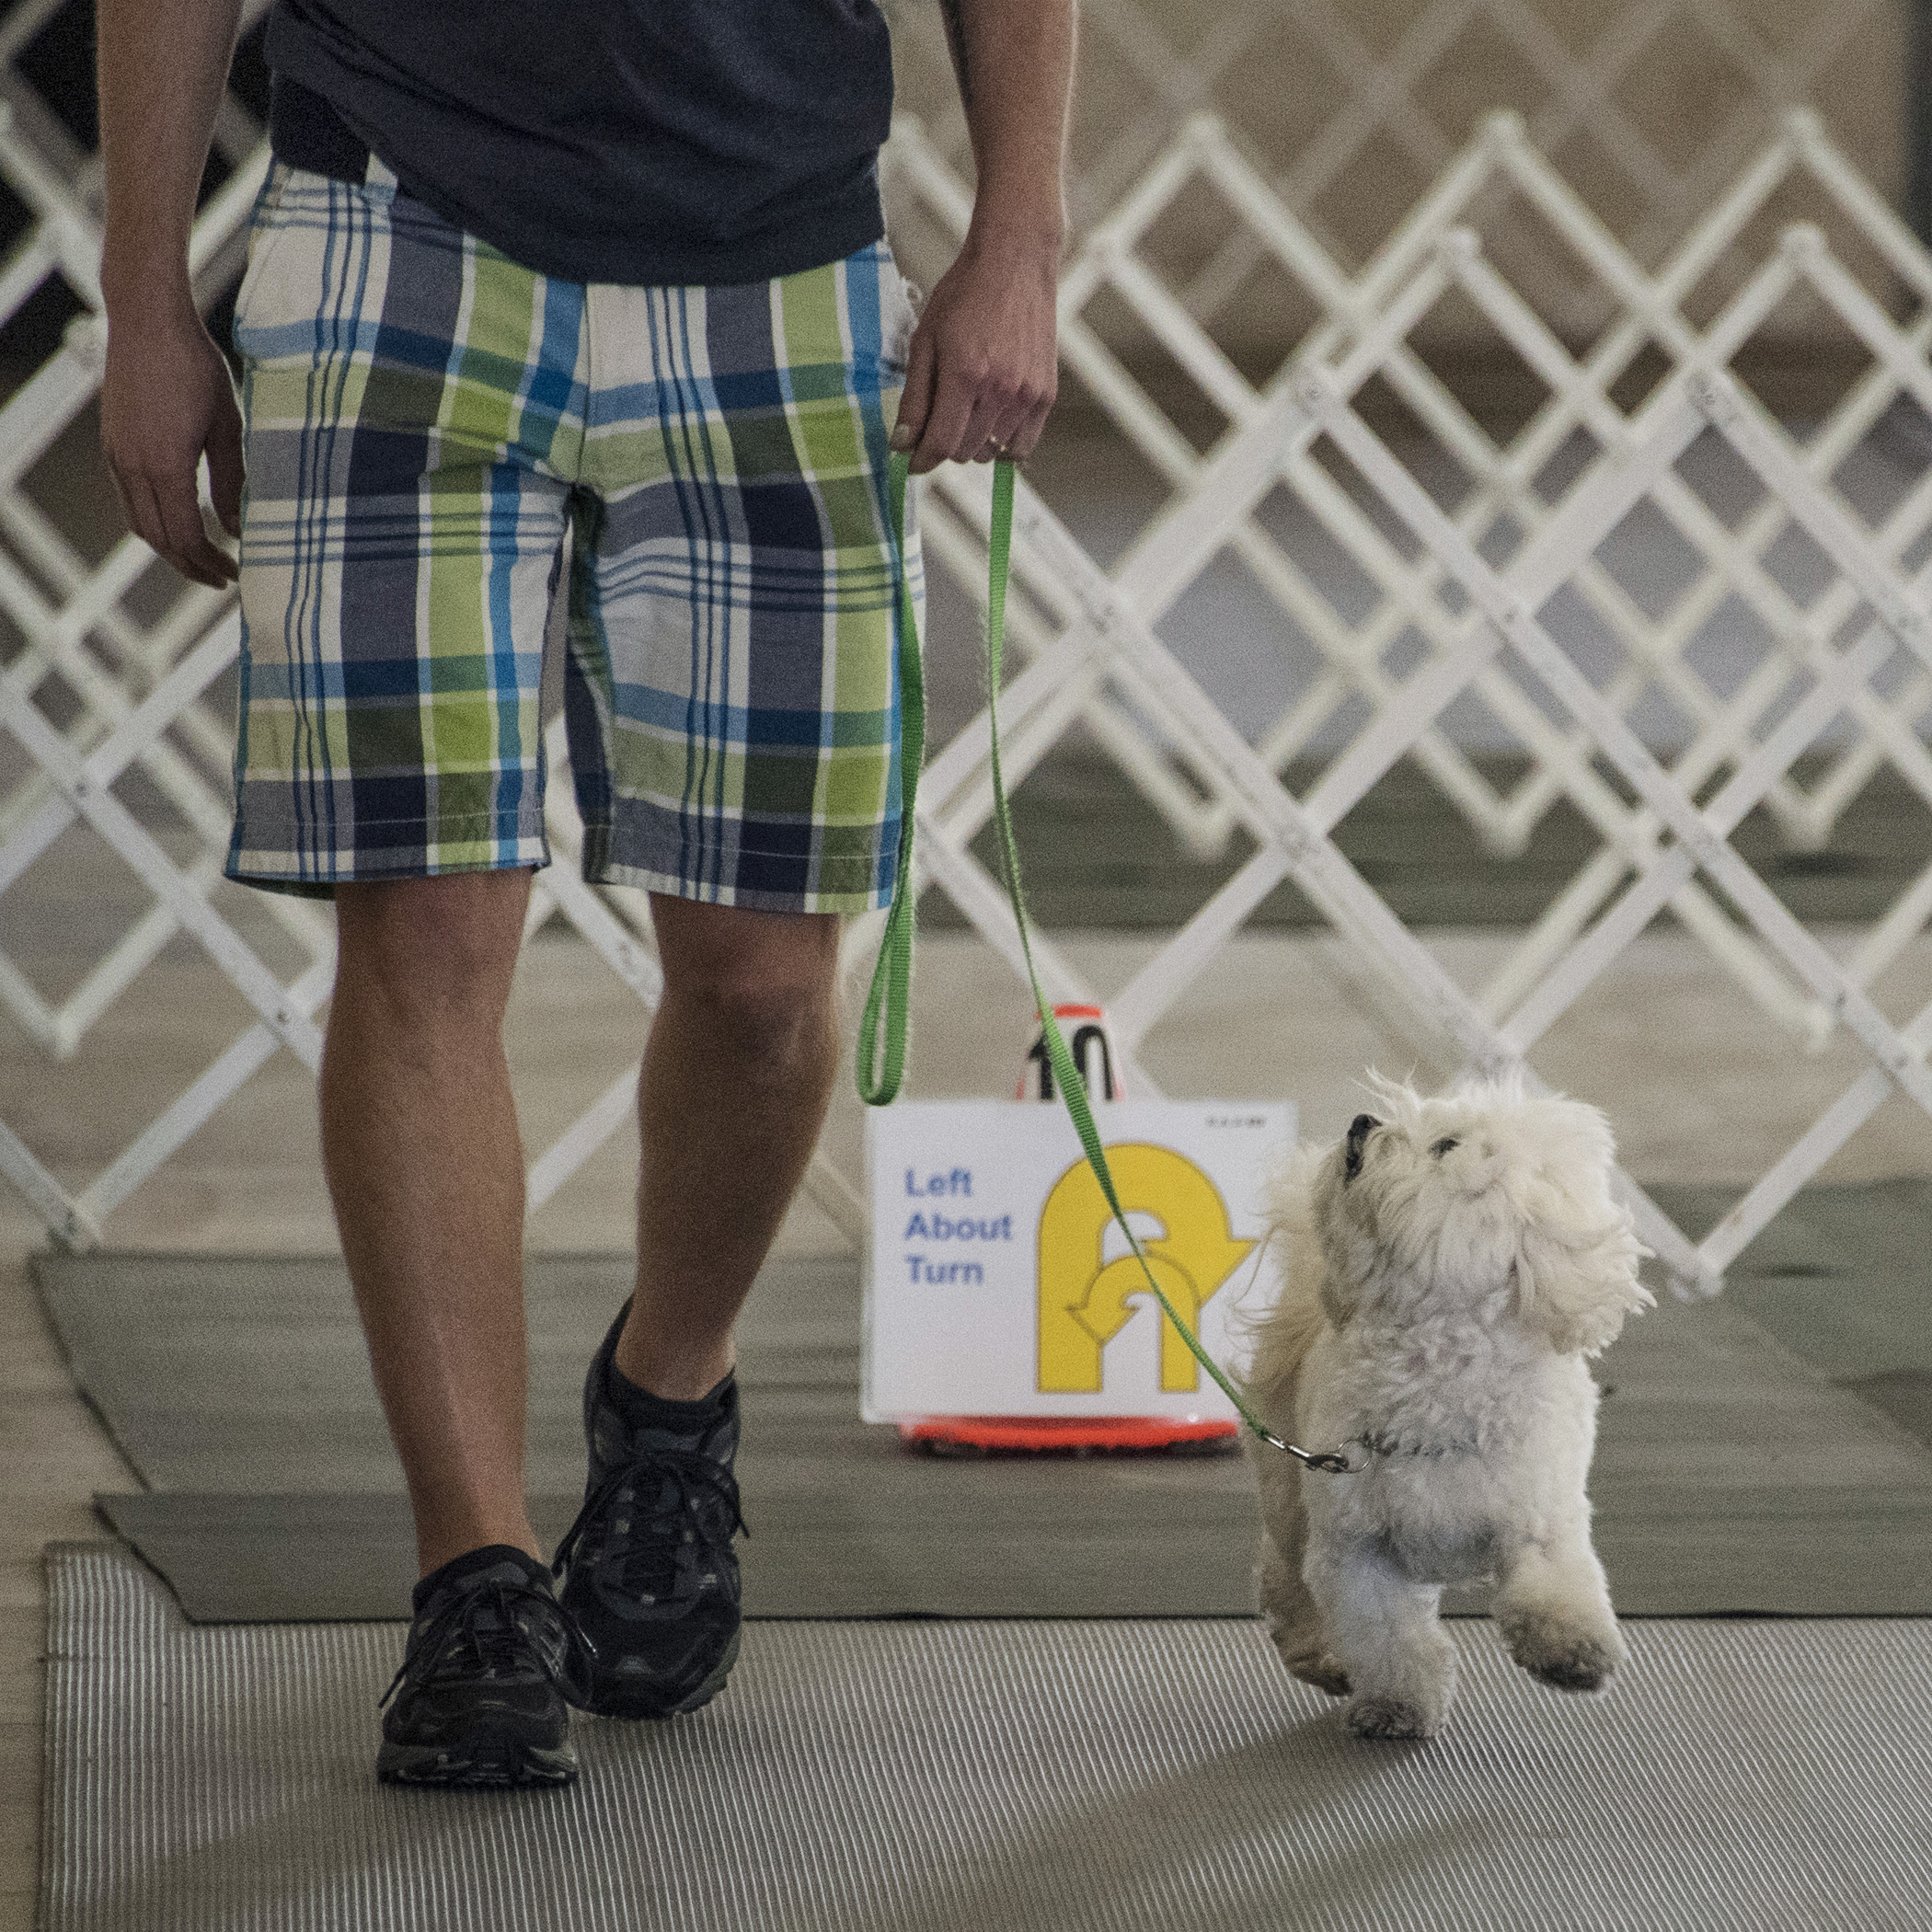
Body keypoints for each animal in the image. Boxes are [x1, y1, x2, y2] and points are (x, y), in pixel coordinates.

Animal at [1251, 1082, 1646, 1746]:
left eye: (1445, 1146)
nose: (1362, 1122)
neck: (1434, 1380)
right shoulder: (1357, 1548)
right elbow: (1387, 1639)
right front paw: (1396, 1706)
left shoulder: (1539, 1518)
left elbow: (1556, 1590)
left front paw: (1572, 1654)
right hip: (1289, 1493)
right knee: (1285, 1578)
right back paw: (1321, 1656)